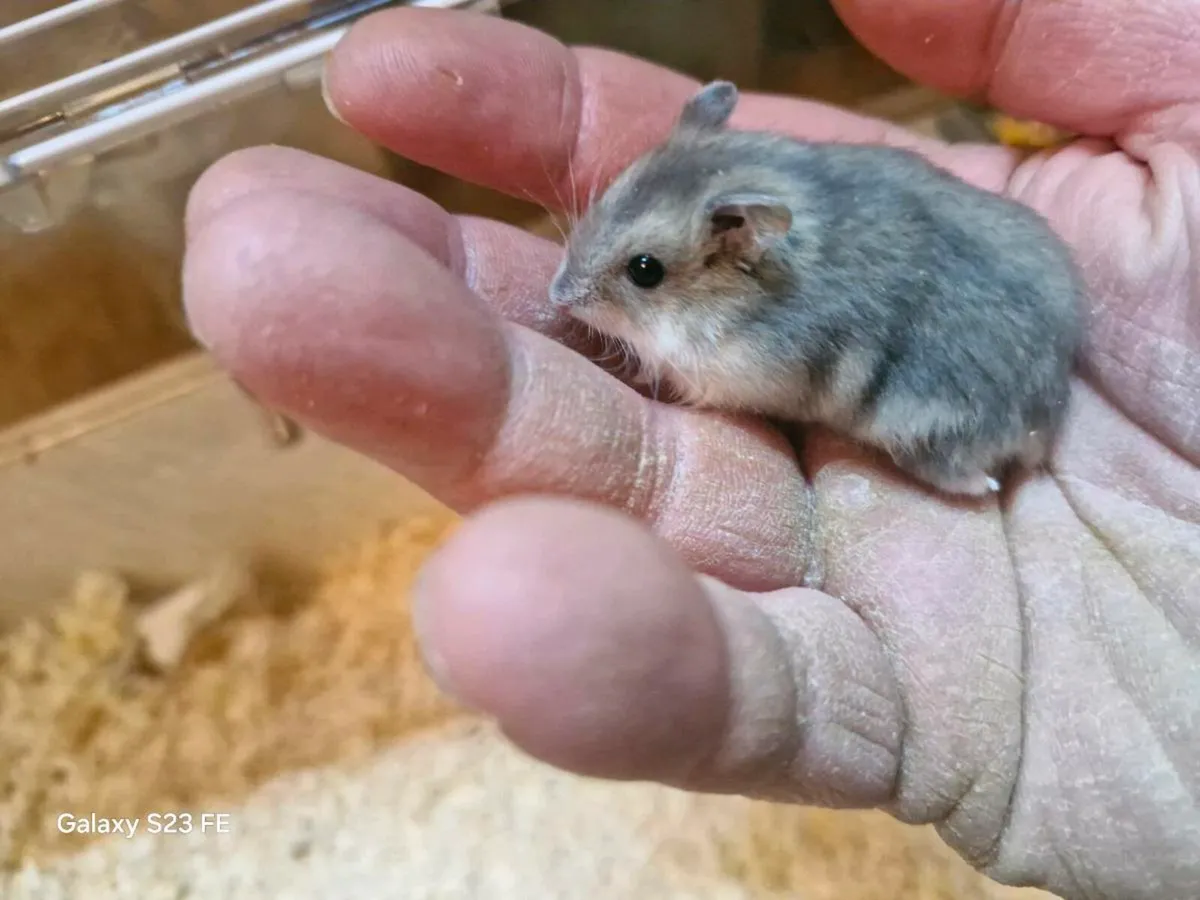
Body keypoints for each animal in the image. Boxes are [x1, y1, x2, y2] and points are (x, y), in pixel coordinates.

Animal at [548, 81, 1085, 498]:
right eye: (610, 192)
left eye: (645, 270)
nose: (558, 295)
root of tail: (1045, 420)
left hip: (921, 429)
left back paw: (984, 486)